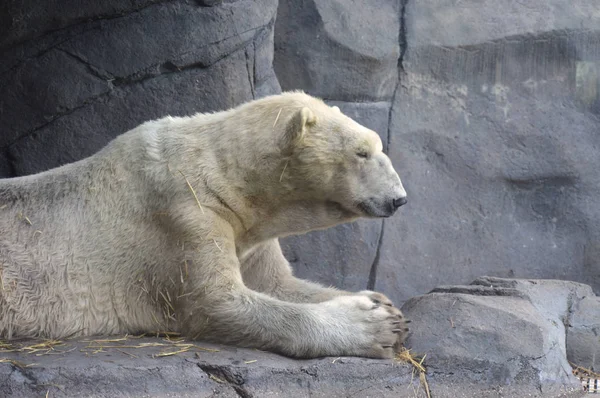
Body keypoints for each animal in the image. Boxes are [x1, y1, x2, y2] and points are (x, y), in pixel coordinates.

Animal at [0, 91, 408, 360]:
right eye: (361, 152)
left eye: (377, 145)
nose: (399, 198)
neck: (221, 176)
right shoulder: (184, 215)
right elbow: (216, 302)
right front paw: (374, 325)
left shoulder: (247, 232)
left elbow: (279, 284)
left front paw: (384, 304)